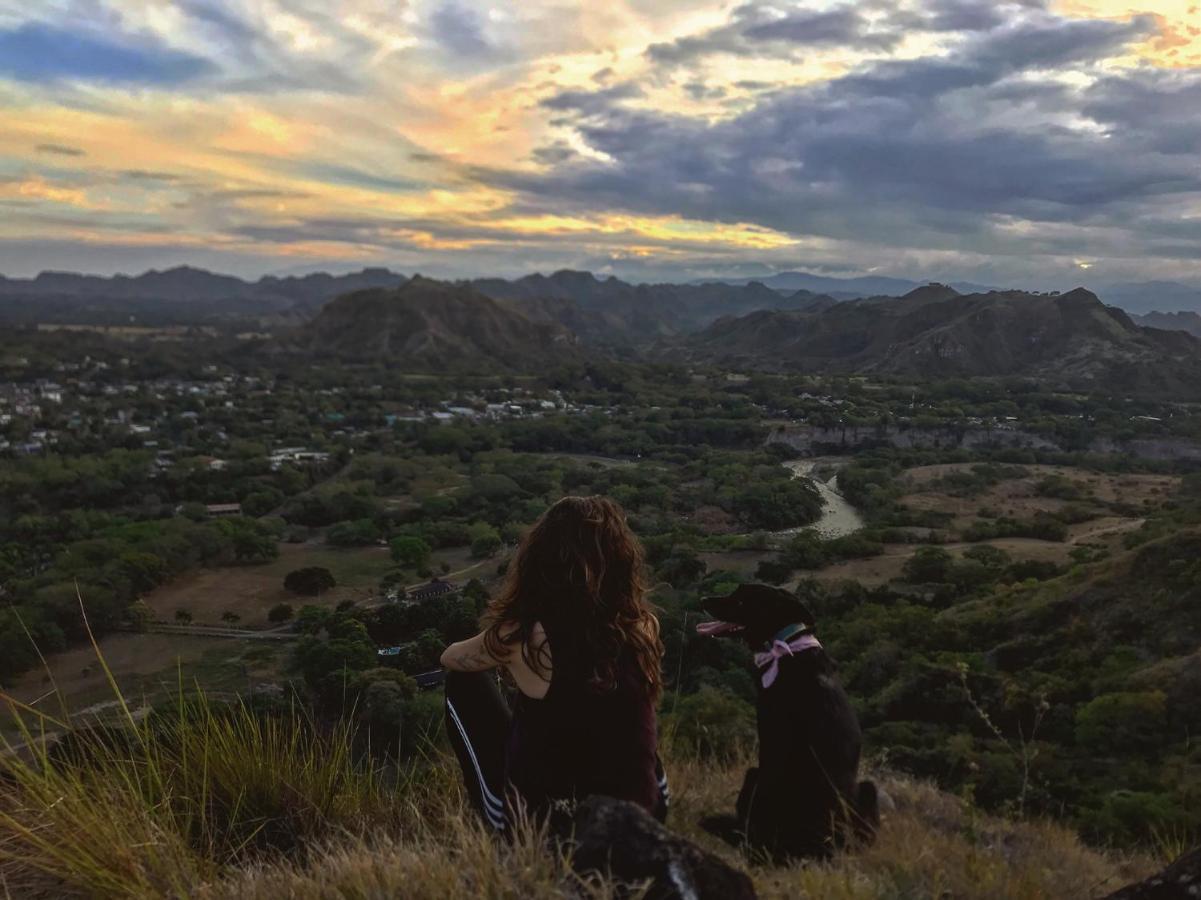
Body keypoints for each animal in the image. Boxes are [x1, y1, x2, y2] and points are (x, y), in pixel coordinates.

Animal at [696, 579, 874, 860]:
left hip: (754, 775)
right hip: (866, 789)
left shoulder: (771, 742)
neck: (785, 644)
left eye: (741, 600)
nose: (703, 599)